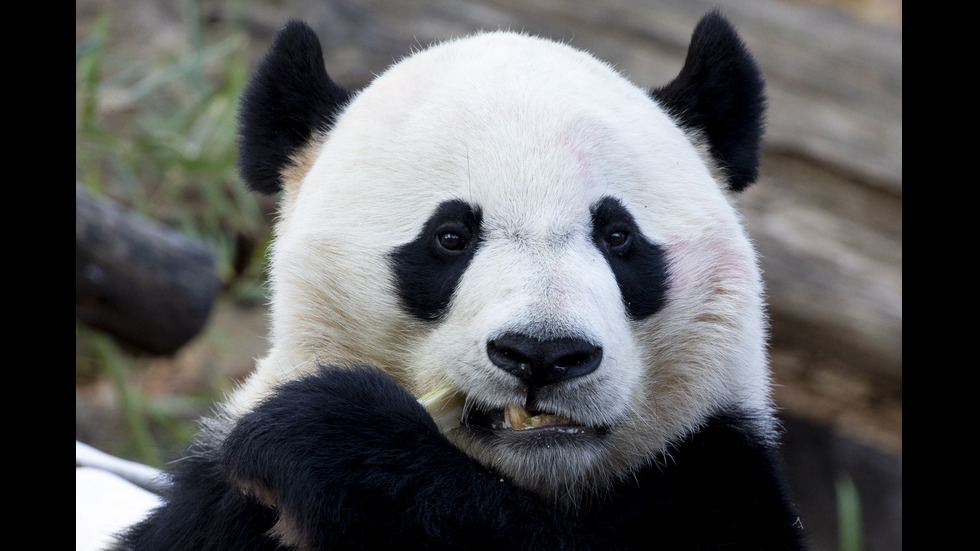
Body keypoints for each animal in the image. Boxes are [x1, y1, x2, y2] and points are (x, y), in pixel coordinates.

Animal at [117, 9, 804, 551]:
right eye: (450, 236)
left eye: (617, 236)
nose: (544, 354)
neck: (525, 476)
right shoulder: (222, 508)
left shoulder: (715, 470)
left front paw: (333, 435)